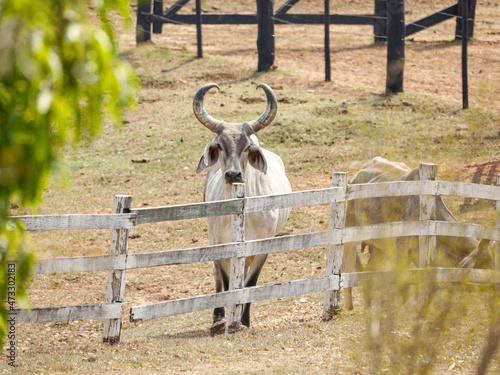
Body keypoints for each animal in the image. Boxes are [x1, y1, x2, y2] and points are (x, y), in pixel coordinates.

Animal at [193, 82, 292, 334]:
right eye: (220, 145)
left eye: (247, 146)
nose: (233, 174)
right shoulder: (220, 244)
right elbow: (228, 282)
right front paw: (226, 317)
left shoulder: (262, 246)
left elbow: (250, 282)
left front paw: (244, 319)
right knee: (218, 277)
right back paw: (218, 316)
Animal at [344, 157, 492, 310]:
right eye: (485, 266)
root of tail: (355, 176)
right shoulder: (401, 252)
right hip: (349, 232)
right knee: (347, 268)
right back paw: (349, 306)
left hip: (378, 248)